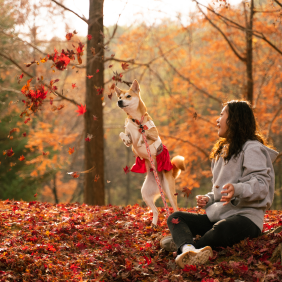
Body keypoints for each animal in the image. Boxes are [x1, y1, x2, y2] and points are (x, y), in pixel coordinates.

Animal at [114, 80, 185, 226]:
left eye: (128, 96)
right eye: (119, 97)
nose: (119, 102)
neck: (136, 120)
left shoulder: (153, 134)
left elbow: (146, 133)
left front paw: (142, 139)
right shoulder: (129, 133)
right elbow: (123, 133)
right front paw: (126, 139)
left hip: (169, 192)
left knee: (174, 208)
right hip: (146, 194)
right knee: (156, 210)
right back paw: (154, 224)